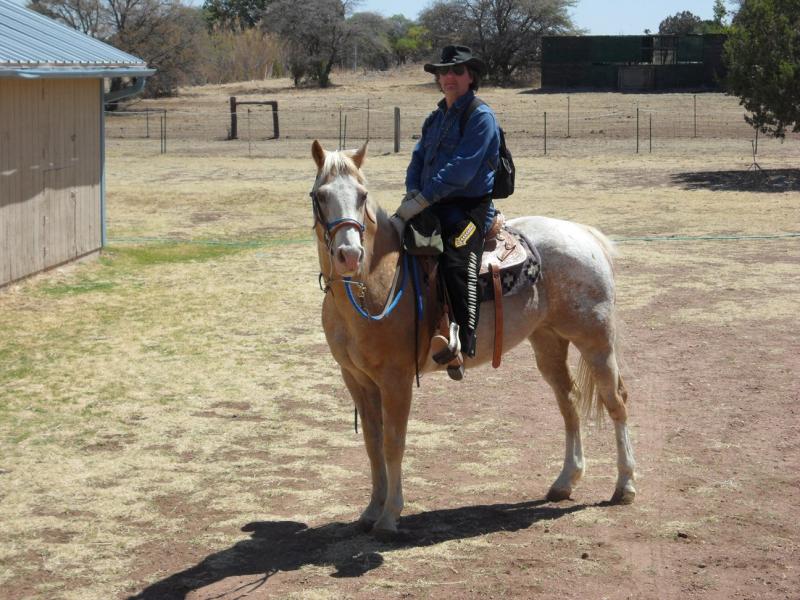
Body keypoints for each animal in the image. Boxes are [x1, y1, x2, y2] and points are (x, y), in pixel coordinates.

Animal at [309, 140, 636, 539]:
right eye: (320, 195)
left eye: (362, 195)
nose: (349, 255)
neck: (377, 283)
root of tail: (587, 235)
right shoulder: (356, 379)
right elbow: (372, 443)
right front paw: (371, 511)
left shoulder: (396, 379)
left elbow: (393, 443)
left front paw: (390, 516)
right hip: (548, 342)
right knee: (568, 402)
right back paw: (565, 482)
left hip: (595, 341)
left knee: (616, 401)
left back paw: (625, 485)